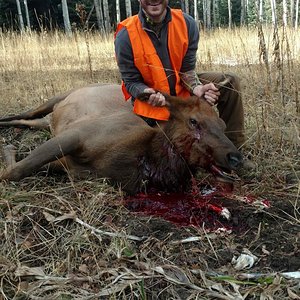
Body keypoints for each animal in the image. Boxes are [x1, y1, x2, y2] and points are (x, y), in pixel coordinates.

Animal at [0, 83, 243, 195]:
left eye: (223, 125)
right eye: (194, 121)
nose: (236, 158)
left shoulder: (69, 165)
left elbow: (21, 169)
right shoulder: (78, 134)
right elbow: (13, 172)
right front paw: (8, 149)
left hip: (49, 121)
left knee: (28, 121)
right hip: (57, 99)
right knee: (25, 114)